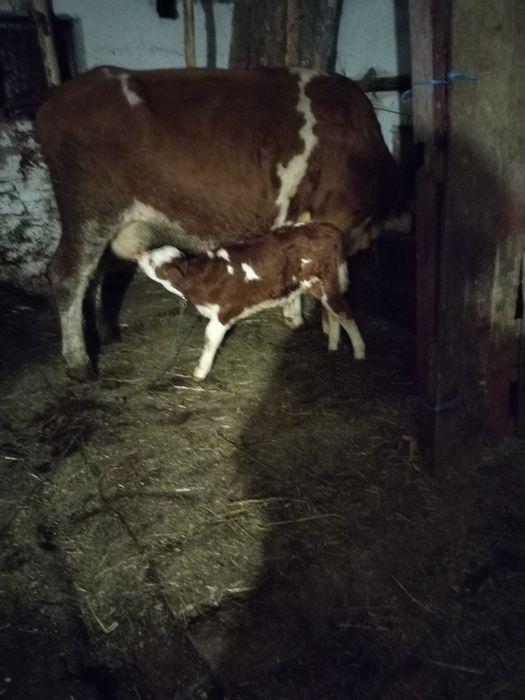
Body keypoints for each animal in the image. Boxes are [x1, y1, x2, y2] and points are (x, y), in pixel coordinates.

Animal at [135, 222, 366, 380]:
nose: (141, 253)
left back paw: (359, 352)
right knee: (334, 313)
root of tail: (326, 228)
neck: (196, 276)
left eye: (152, 261)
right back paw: (333, 345)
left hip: (327, 280)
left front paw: (200, 371)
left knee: (345, 313)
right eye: (153, 253)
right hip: (317, 284)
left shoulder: (223, 313)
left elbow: (209, 339)